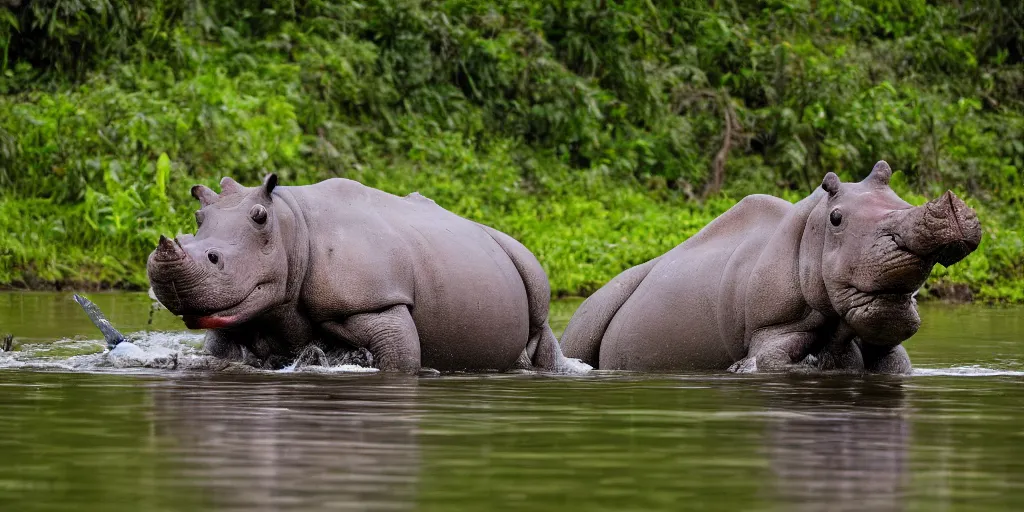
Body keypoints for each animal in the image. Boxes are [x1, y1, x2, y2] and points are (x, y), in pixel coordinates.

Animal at [146, 174, 593, 374]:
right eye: (196, 224)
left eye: (215, 258)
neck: (292, 227)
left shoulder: (375, 302)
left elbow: (399, 359)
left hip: (521, 255)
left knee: (540, 311)